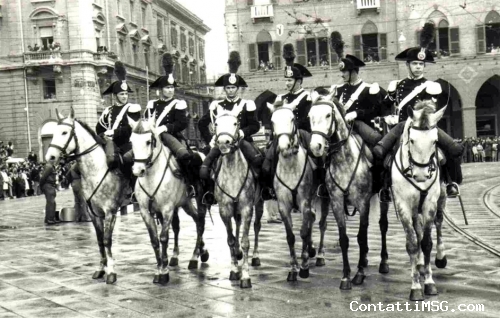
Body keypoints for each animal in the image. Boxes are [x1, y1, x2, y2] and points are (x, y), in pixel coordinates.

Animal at [45, 108, 127, 284]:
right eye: (52, 132)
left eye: (64, 132)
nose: (50, 157)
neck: (97, 170)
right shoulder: (94, 213)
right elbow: (99, 241)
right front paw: (101, 269)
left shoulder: (110, 211)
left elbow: (107, 240)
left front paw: (111, 271)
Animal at [129, 115, 209, 284]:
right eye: (131, 141)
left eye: (148, 141)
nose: (138, 170)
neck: (151, 177)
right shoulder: (146, 211)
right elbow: (154, 239)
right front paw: (159, 267)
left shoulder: (167, 209)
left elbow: (164, 237)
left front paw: (164, 272)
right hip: (185, 203)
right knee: (192, 221)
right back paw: (197, 252)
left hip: (198, 200)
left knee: (200, 222)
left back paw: (194, 257)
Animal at [390, 102, 450, 300]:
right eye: (412, 140)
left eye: (435, 141)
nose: (422, 175)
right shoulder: (403, 205)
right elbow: (412, 243)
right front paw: (416, 285)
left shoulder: (430, 203)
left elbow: (427, 243)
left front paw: (429, 283)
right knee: (417, 232)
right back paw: (420, 264)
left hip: (441, 198)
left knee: (438, 224)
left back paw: (440, 257)